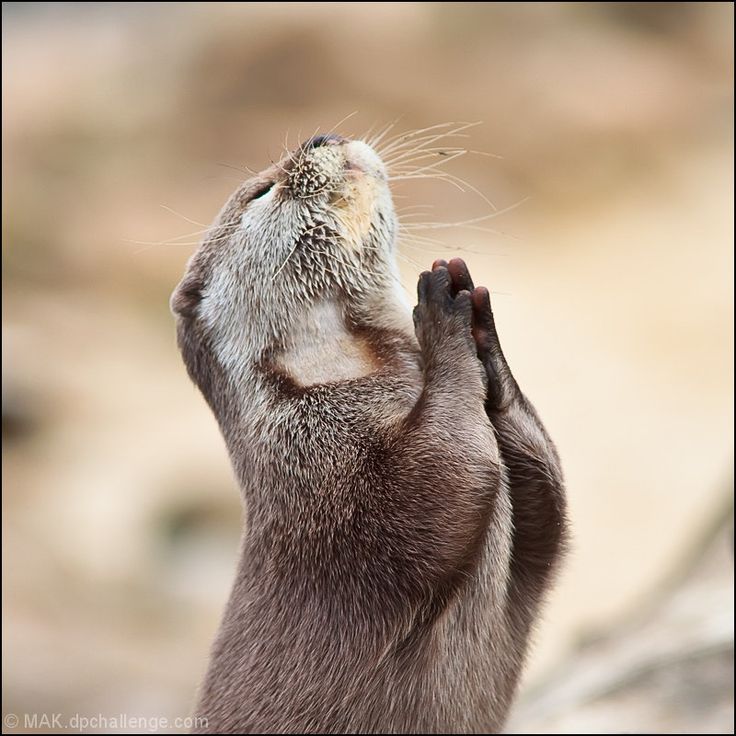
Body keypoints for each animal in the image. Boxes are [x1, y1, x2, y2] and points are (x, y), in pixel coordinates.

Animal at [171, 134, 564, 736]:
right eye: (263, 191)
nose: (320, 137)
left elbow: (549, 507)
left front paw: (481, 330)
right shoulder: (324, 471)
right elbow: (446, 478)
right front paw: (441, 314)